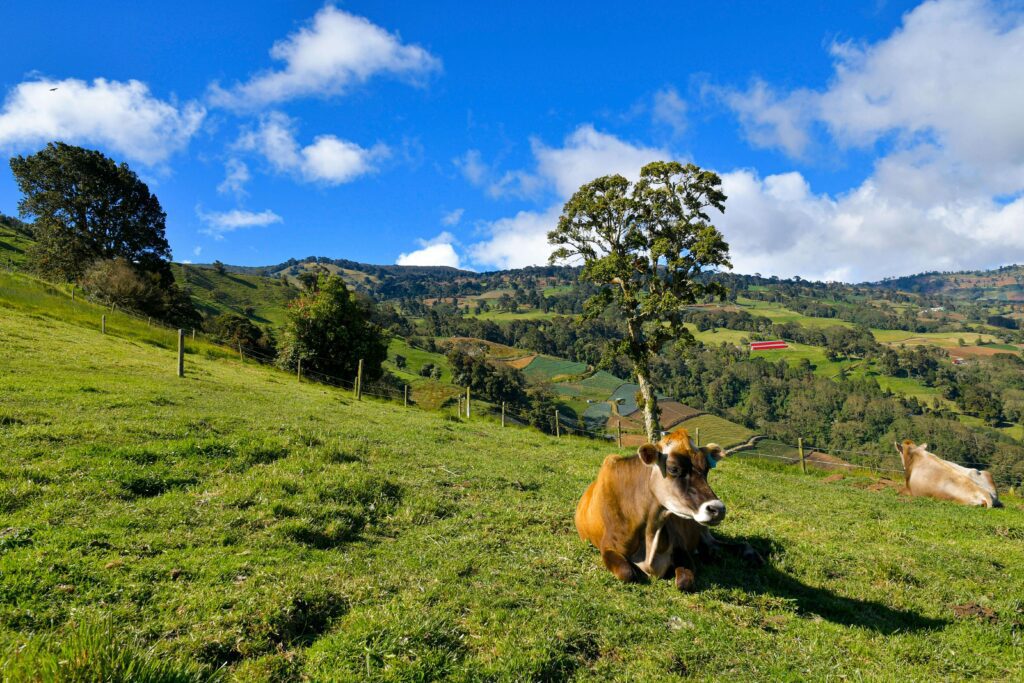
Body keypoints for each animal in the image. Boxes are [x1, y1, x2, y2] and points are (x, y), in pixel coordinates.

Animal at [575, 427, 757, 591]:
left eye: (706, 469)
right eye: (673, 468)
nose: (717, 509)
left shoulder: (680, 546)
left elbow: (684, 582)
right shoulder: (608, 546)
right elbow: (627, 573)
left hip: (703, 531)